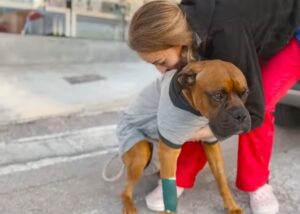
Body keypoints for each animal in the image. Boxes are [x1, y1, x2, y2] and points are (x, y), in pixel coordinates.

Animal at [120, 59, 250, 214]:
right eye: (218, 95)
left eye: (244, 93)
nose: (241, 115)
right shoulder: (169, 150)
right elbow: (169, 188)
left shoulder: (211, 145)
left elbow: (221, 178)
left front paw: (232, 206)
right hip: (140, 154)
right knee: (125, 190)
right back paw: (128, 205)